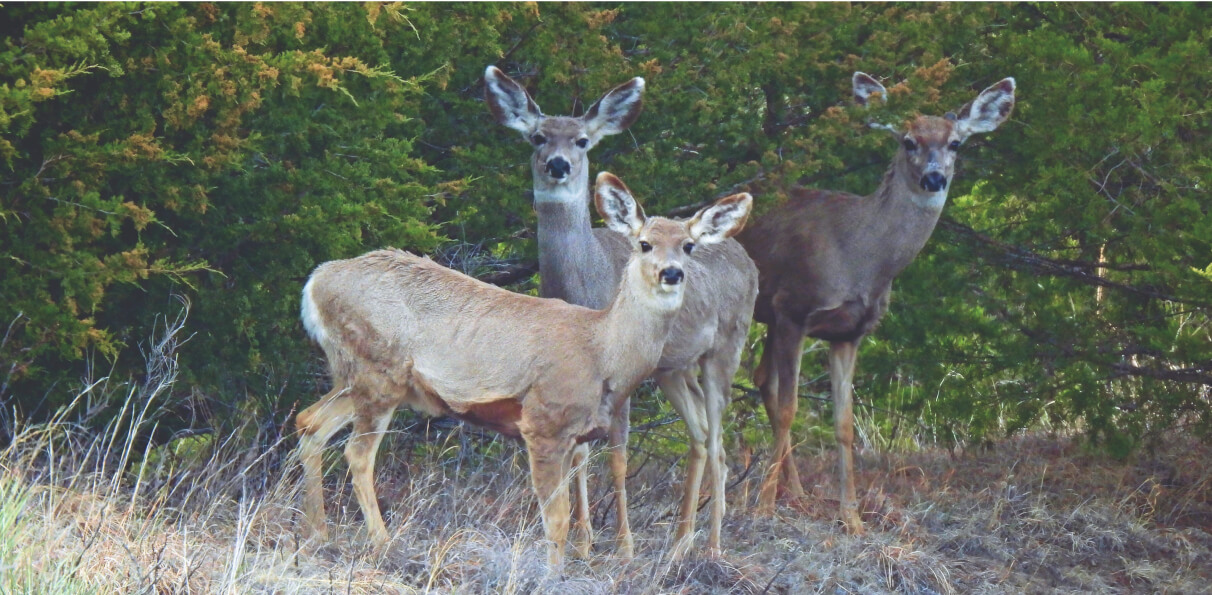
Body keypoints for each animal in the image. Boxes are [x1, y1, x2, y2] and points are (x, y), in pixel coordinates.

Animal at [295, 171, 753, 569]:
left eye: (688, 245)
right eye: (644, 243)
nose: (671, 273)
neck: (603, 350)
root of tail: (315, 282)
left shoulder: (573, 435)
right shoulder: (543, 422)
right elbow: (556, 518)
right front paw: (553, 574)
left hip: (358, 376)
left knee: (309, 421)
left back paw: (318, 534)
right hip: (379, 370)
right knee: (356, 453)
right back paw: (382, 542)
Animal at [485, 65, 759, 559]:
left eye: (582, 140)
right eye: (537, 137)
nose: (558, 164)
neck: (586, 285)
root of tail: (749, 259)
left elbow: (617, 454)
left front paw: (624, 545)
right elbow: (577, 454)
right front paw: (582, 540)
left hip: (727, 347)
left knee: (717, 440)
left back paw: (711, 546)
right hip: (674, 367)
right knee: (699, 435)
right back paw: (680, 540)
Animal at [737, 72, 1016, 533]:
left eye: (956, 143)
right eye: (908, 141)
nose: (934, 178)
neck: (860, 259)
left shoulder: (849, 331)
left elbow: (844, 424)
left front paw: (851, 518)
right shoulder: (794, 307)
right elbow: (793, 409)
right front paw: (761, 507)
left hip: (769, 319)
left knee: (762, 380)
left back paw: (796, 491)